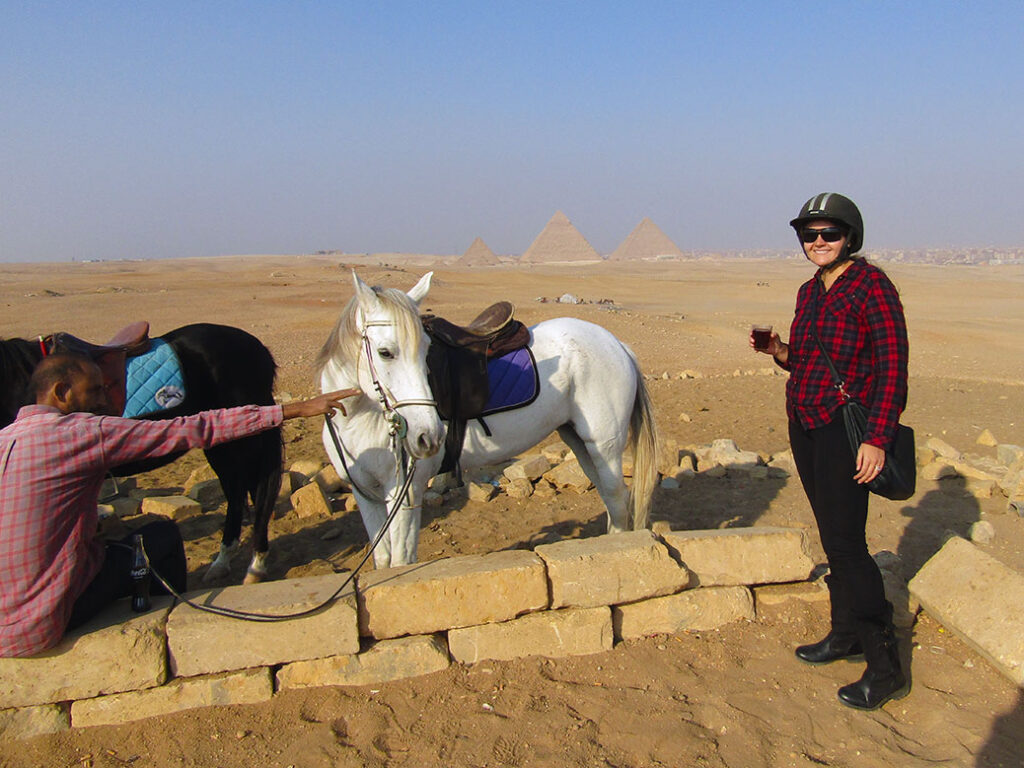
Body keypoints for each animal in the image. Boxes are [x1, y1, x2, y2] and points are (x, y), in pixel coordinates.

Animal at [1, 323, 280, 581]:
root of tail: (259, 350)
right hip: (221, 444)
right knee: (237, 493)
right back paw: (223, 562)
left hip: (242, 444)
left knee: (253, 492)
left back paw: (254, 566)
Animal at [315, 274, 659, 569]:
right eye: (385, 352)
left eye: (426, 352)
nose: (428, 437)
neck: (360, 418)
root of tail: (616, 344)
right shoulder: (367, 494)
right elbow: (383, 560)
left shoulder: (404, 492)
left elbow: (401, 560)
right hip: (579, 441)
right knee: (609, 498)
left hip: (605, 445)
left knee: (616, 499)